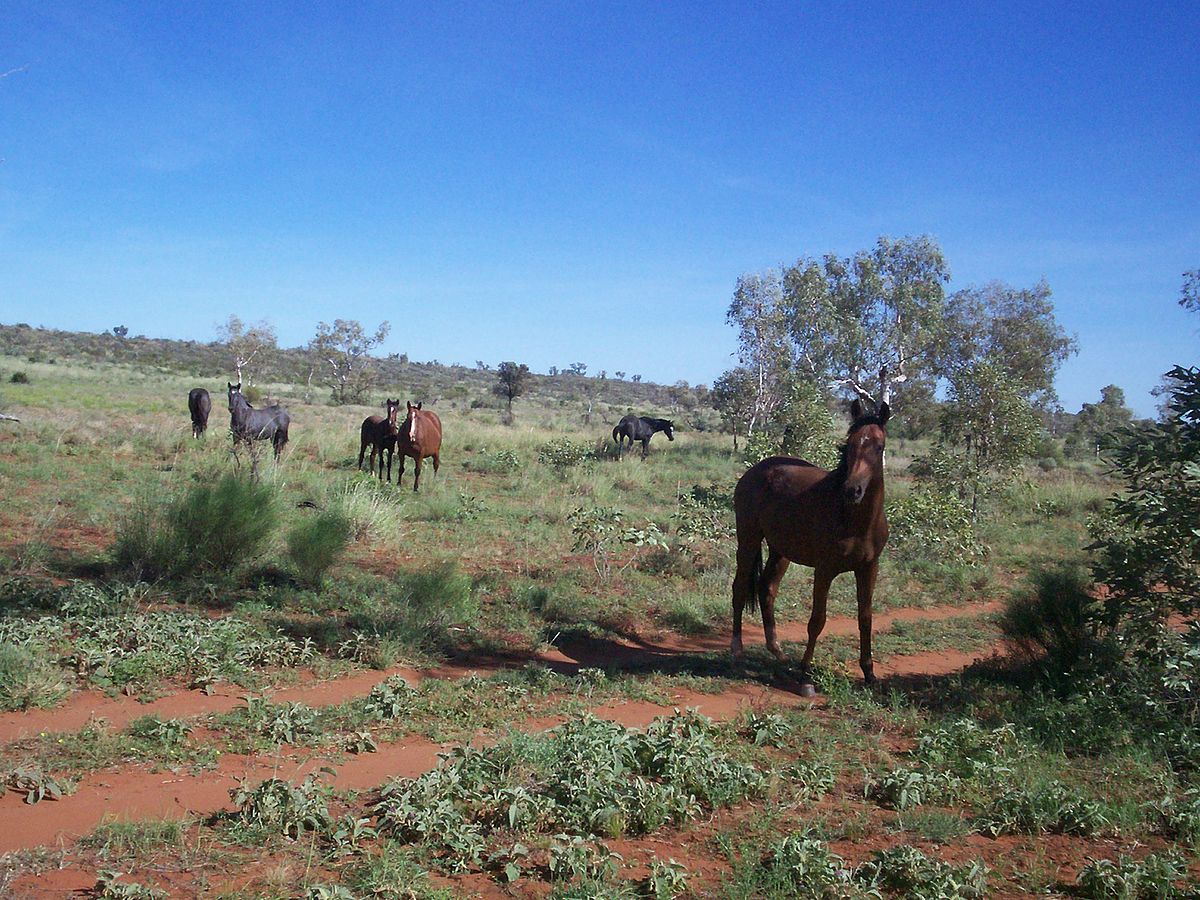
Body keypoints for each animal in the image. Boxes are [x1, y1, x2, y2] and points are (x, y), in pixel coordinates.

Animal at [724, 400, 888, 696]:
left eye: (879, 447)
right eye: (850, 443)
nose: (852, 490)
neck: (854, 519)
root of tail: (755, 470)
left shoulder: (869, 568)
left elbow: (866, 618)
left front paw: (869, 674)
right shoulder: (824, 570)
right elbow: (817, 621)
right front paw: (805, 677)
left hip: (780, 551)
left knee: (767, 588)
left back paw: (777, 652)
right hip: (749, 539)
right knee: (740, 588)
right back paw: (737, 651)